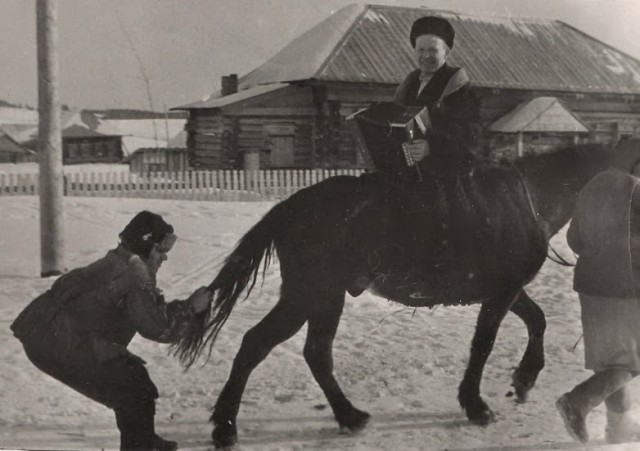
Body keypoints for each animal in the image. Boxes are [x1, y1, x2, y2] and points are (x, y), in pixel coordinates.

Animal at [171, 140, 640, 448]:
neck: (532, 196)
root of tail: (290, 207)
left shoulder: (506, 288)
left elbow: (536, 320)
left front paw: (523, 380)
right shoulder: (502, 291)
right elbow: (484, 344)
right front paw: (476, 405)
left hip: (325, 297)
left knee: (315, 353)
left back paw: (348, 416)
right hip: (309, 293)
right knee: (258, 344)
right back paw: (225, 426)